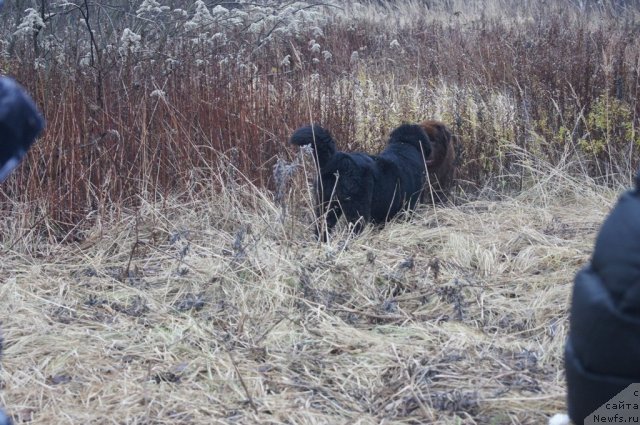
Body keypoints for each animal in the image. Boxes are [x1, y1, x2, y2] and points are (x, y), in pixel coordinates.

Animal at [288, 123, 430, 238]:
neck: (403, 146)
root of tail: (338, 160)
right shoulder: (408, 206)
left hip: (326, 205)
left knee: (322, 227)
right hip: (356, 209)